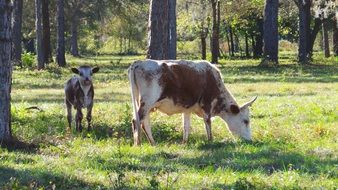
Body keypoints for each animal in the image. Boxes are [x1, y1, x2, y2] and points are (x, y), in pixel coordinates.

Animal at [127, 59, 256, 145]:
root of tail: (139, 62)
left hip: (142, 104)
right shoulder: (207, 104)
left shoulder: (187, 109)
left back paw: (153, 143)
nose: (250, 140)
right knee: (137, 120)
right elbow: (208, 122)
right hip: (147, 102)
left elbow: (186, 126)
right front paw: (211, 141)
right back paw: (138, 144)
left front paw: (184, 142)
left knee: (144, 122)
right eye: (246, 121)